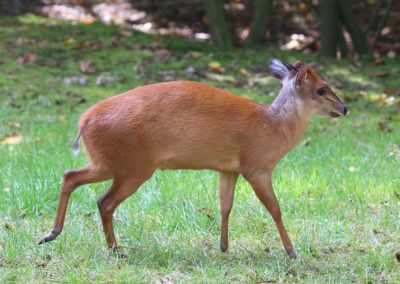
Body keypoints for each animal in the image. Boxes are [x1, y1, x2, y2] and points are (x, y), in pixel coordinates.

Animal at [39, 58, 348, 260]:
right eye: (321, 89)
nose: (344, 108)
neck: (274, 127)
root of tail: (83, 122)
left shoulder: (228, 169)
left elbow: (225, 206)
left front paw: (223, 247)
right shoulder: (257, 166)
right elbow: (275, 209)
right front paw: (292, 251)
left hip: (108, 163)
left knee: (70, 176)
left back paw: (52, 234)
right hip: (133, 167)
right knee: (104, 201)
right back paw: (114, 249)